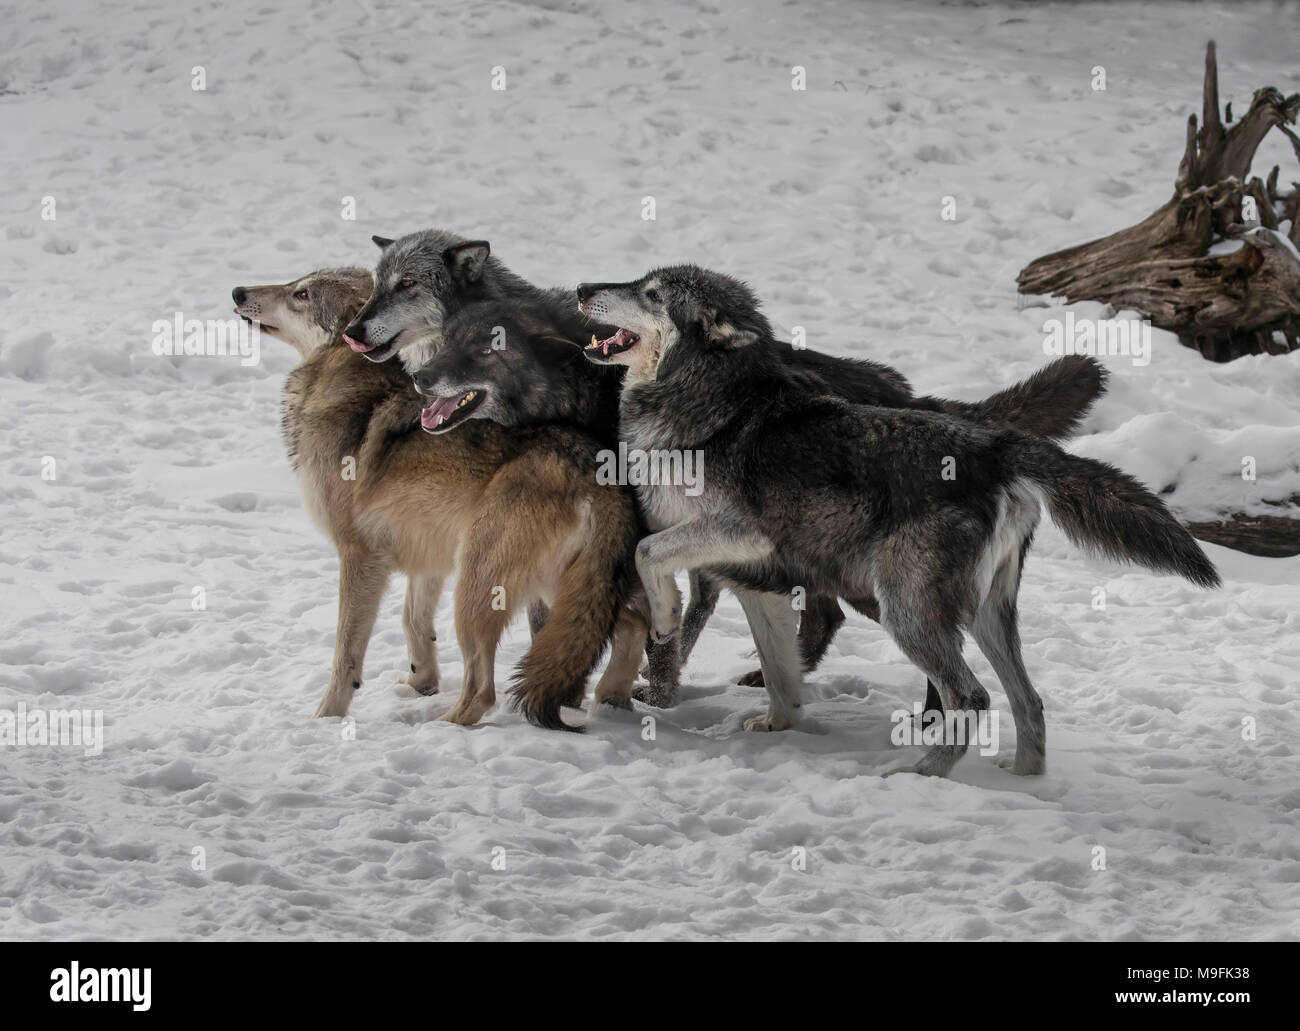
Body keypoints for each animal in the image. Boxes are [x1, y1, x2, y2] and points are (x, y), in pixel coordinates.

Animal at [232, 267, 644, 733]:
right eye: (296, 283)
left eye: (301, 294)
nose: (238, 292)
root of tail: (601, 472)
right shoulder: (425, 552)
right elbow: (413, 620)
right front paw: (421, 681)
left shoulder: (360, 555)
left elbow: (345, 653)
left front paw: (325, 716)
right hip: (560, 589)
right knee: (632, 625)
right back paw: (611, 700)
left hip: (477, 587)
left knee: (482, 689)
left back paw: (439, 725)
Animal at [353, 224, 1107, 707]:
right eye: (376, 286)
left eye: (406, 286)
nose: (356, 330)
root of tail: (905, 391)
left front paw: (646, 688)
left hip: (874, 578)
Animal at [577, 261, 1216, 774]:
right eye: (639, 281)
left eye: (652, 294)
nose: (582, 287)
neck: (710, 407)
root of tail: (997, 446)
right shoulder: (758, 584)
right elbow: (782, 677)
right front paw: (776, 727)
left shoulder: (737, 535)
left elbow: (649, 555)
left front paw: (664, 618)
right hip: (981, 615)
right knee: (1028, 700)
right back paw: (1025, 778)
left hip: (903, 609)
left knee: (972, 697)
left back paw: (922, 774)